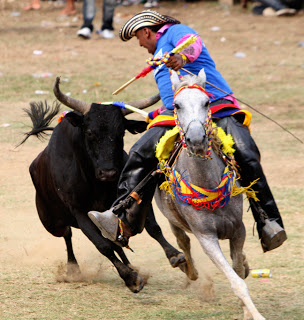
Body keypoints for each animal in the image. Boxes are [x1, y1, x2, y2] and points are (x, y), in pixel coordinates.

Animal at [20, 79, 185, 292]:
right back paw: (74, 269)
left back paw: (132, 266)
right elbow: (103, 246)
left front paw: (175, 256)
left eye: (121, 132)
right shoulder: (80, 212)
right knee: (68, 235)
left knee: (114, 240)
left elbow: (152, 228)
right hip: (52, 223)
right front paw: (130, 278)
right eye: (90, 132)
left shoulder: (132, 195)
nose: (108, 173)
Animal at [156, 69, 264, 318]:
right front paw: (254, 313)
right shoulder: (206, 237)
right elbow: (236, 281)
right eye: (176, 105)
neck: (206, 182)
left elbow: (237, 269)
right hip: (173, 221)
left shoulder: (238, 230)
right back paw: (190, 271)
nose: (196, 139)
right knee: (183, 242)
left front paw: (247, 309)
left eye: (206, 102)